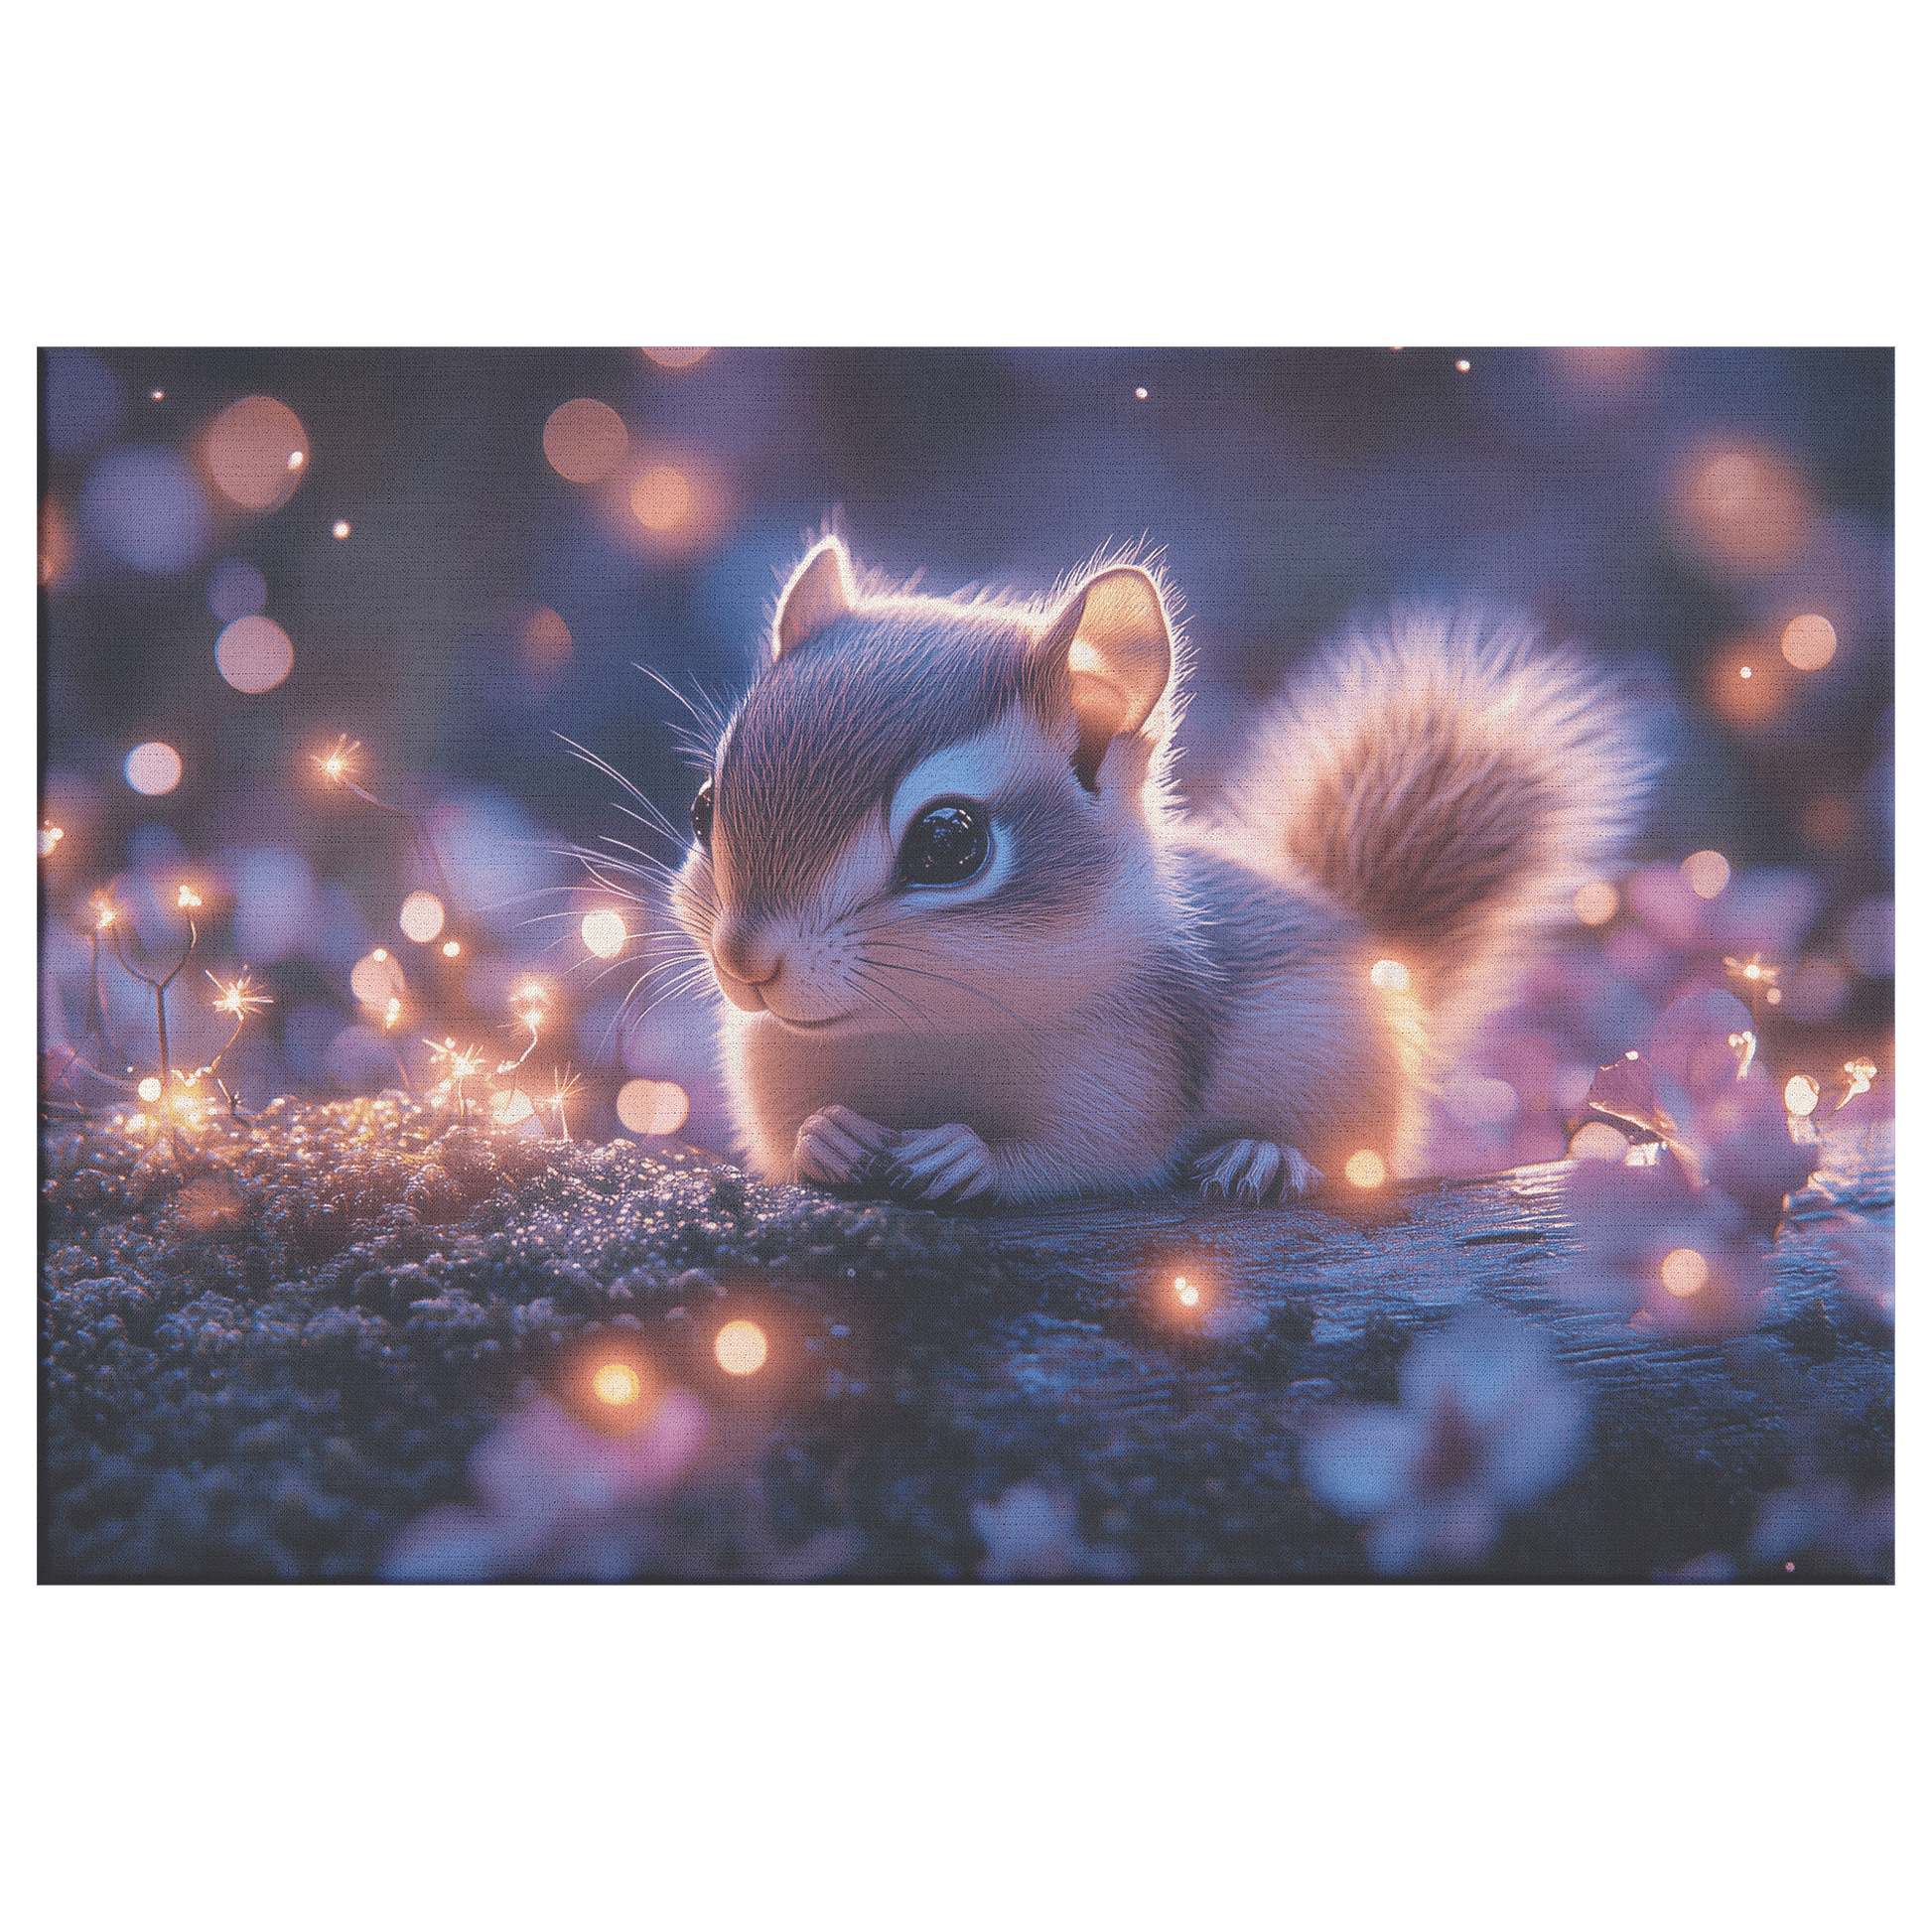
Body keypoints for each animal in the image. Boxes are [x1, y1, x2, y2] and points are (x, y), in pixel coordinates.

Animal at [666, 535, 1655, 1207]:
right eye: (704, 806)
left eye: (948, 842)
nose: (745, 962)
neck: (914, 1031)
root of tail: (1385, 956)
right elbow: (786, 1144)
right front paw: (828, 1138)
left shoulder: (1129, 1075)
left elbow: (1090, 1157)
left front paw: (967, 1154)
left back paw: (1265, 1156)